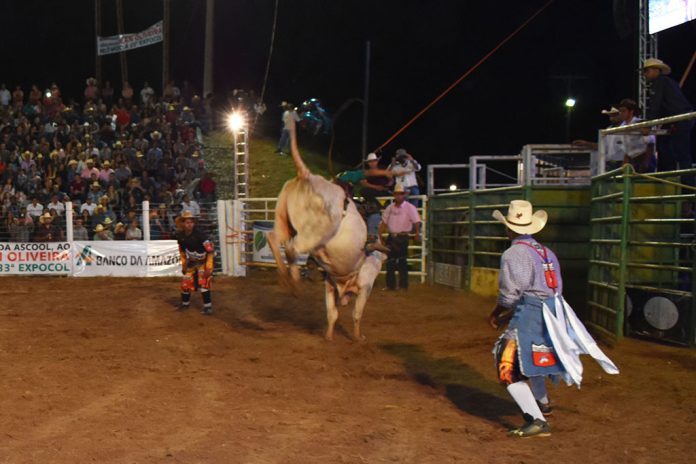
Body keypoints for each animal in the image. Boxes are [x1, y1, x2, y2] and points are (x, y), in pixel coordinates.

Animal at [267, 120, 387, 341]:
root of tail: (308, 176)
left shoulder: (330, 283)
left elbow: (332, 313)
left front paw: (329, 337)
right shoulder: (366, 284)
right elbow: (357, 313)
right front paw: (358, 338)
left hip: (282, 220)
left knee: (274, 238)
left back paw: (288, 280)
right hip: (314, 233)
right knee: (292, 248)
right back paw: (294, 282)